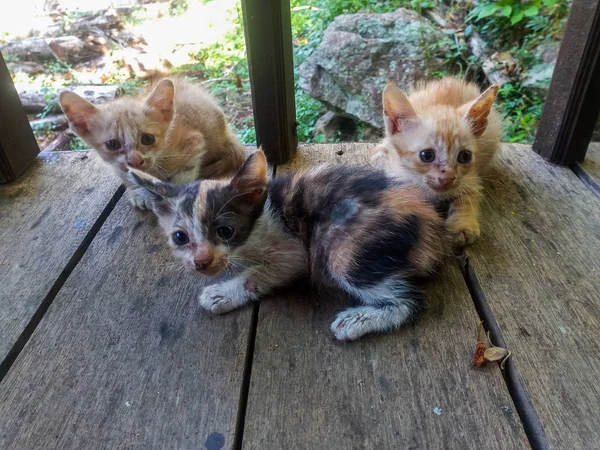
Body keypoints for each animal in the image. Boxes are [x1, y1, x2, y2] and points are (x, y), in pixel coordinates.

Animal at [59, 77, 247, 209]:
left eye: (148, 139)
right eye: (112, 144)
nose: (135, 160)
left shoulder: (195, 141)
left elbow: (185, 173)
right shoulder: (117, 166)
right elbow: (128, 176)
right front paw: (140, 193)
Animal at [131, 151, 450, 342]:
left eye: (226, 231)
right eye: (180, 237)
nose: (201, 261)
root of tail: (431, 227)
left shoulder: (293, 250)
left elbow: (261, 273)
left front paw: (222, 294)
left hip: (341, 249)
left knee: (409, 302)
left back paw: (357, 320)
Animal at [370, 77, 502, 246]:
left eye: (465, 156)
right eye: (427, 155)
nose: (448, 177)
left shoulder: (471, 179)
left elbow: (467, 199)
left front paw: (463, 225)